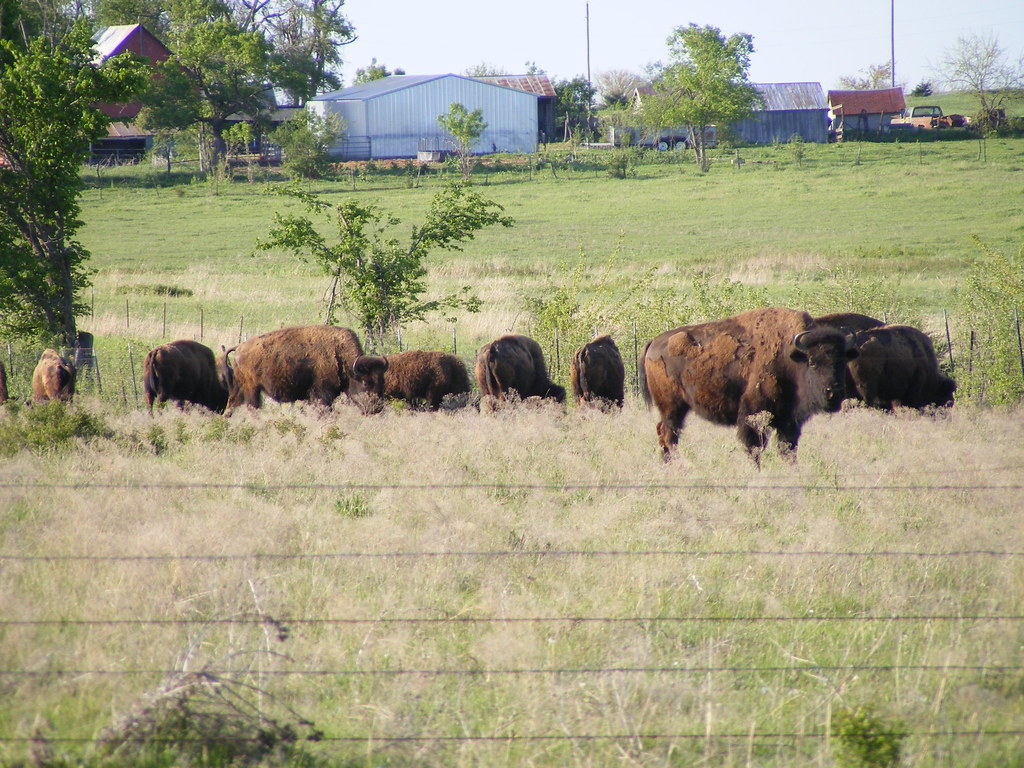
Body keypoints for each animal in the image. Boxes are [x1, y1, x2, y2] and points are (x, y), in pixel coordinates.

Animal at [217, 325, 369, 413]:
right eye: (366, 383)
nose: (372, 408)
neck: (339, 353)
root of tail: (238, 348)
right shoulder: (322, 394)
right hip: (251, 388)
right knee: (252, 407)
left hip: (241, 387)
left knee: (233, 403)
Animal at [640, 307, 858, 463]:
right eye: (813, 363)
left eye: (842, 362)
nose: (833, 393)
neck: (792, 357)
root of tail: (654, 342)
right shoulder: (752, 415)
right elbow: (755, 448)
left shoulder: (789, 421)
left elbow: (788, 449)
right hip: (672, 407)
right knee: (668, 434)